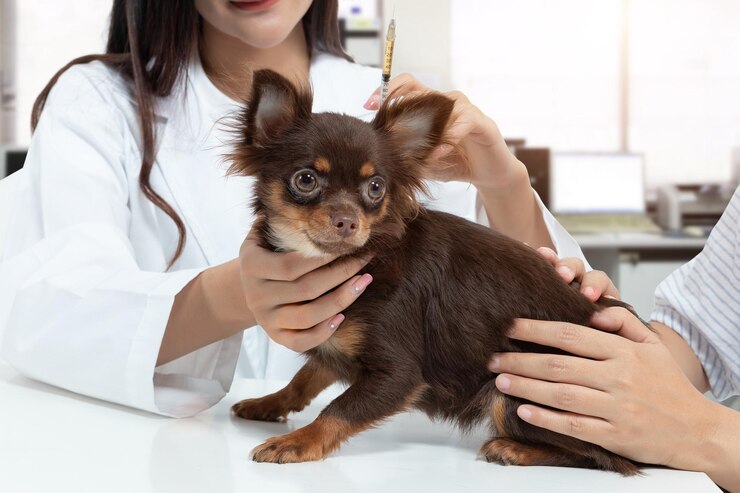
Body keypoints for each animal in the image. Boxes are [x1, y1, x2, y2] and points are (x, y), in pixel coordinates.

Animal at [227, 69, 640, 472]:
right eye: (306, 179)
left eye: (375, 188)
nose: (347, 221)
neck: (359, 259)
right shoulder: (336, 345)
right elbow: (305, 377)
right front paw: (269, 402)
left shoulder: (399, 374)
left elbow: (338, 410)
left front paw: (297, 442)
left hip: (514, 391)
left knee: (604, 458)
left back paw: (514, 450)